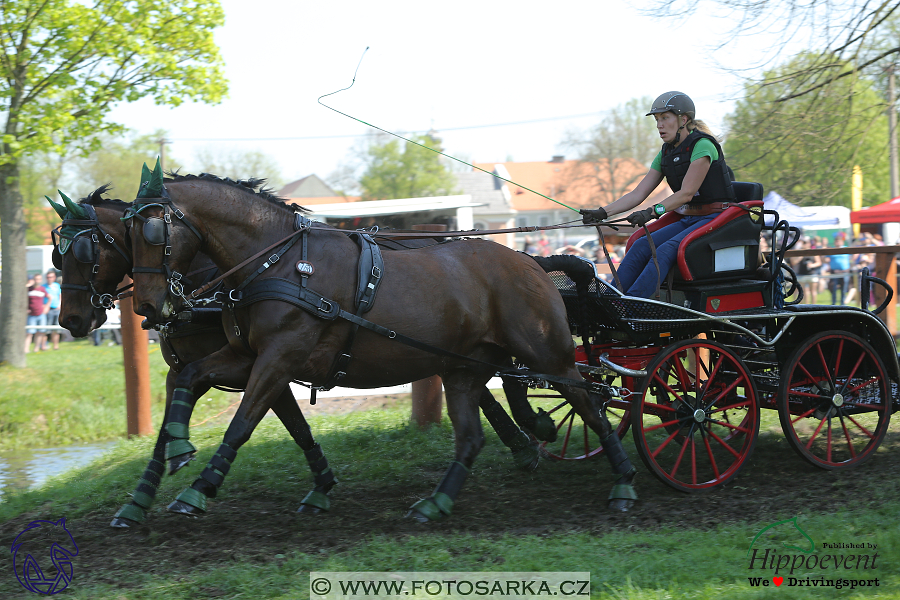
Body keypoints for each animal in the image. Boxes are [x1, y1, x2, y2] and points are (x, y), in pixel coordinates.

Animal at [49, 185, 544, 528]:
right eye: (58, 255)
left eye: (89, 250)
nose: (69, 319)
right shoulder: (223, 364)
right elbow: (178, 421)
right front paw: (143, 495)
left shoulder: (272, 363)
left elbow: (255, 423)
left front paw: (196, 486)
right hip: (448, 354)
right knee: (479, 389)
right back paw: (521, 445)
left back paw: (527, 441)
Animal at [126, 170, 640, 520]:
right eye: (124, 236)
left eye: (152, 230)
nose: (149, 306)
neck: (280, 262)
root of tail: (531, 261)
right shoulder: (244, 356)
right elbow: (190, 378)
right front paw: (177, 448)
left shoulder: (278, 359)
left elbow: (241, 424)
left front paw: (199, 487)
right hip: (465, 368)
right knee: (473, 436)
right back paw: (437, 500)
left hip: (549, 354)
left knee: (591, 406)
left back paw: (624, 481)